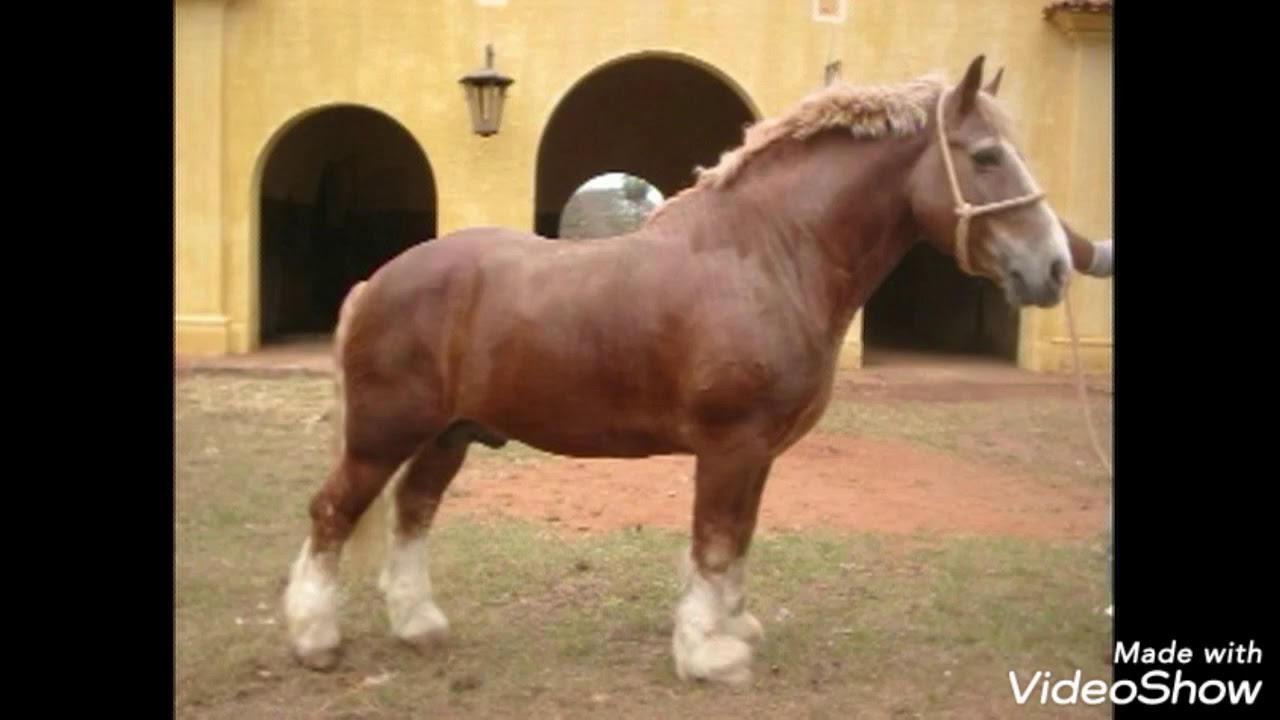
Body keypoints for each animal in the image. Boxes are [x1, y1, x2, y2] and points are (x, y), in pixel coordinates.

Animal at [283, 55, 1080, 686]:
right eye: (986, 156)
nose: (1054, 266)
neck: (768, 253)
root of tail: (376, 282)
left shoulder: (760, 452)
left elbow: (739, 541)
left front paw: (734, 628)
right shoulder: (731, 444)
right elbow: (716, 541)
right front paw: (710, 655)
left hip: (447, 435)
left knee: (413, 513)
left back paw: (419, 626)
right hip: (383, 436)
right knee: (333, 513)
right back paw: (315, 639)